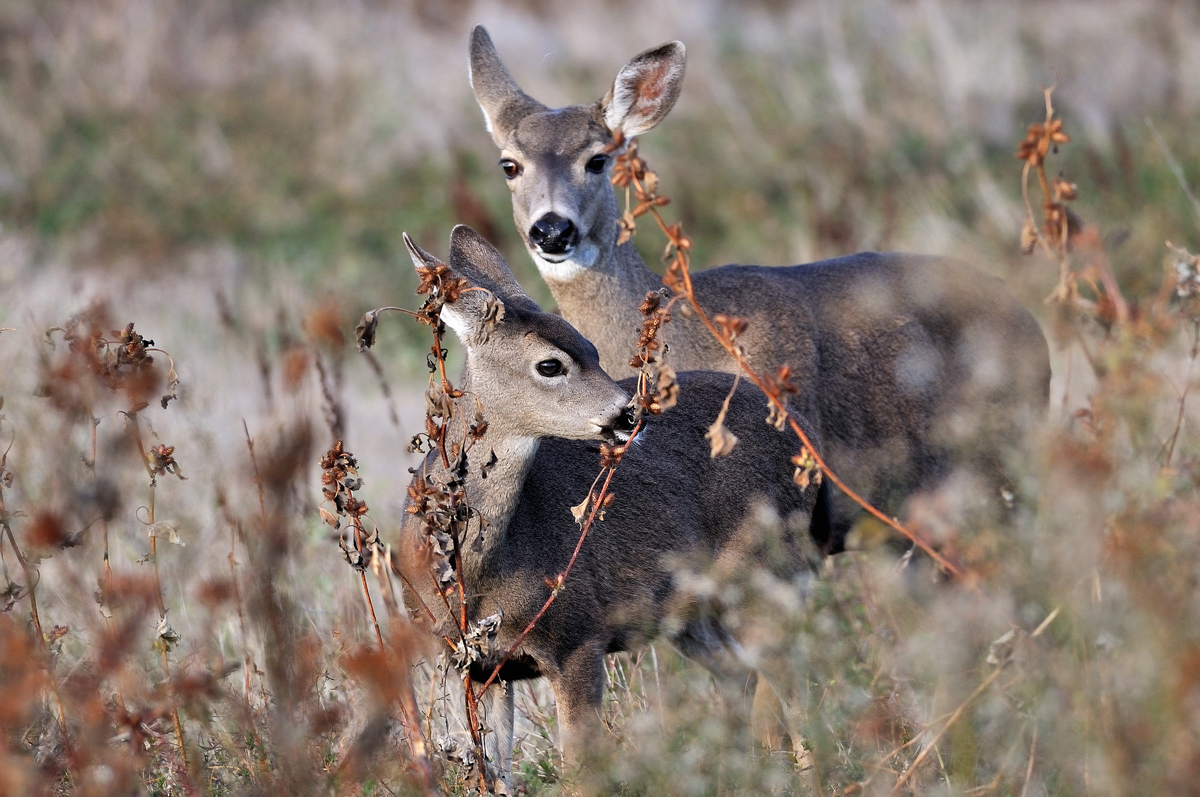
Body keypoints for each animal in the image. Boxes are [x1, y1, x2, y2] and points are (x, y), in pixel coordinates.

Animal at [396, 224, 825, 789]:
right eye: (550, 364)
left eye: (594, 349)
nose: (631, 414)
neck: (482, 570)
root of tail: (802, 435)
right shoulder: (469, 662)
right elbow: (491, 773)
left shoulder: (577, 637)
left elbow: (581, 771)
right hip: (688, 610)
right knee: (741, 673)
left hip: (770, 569)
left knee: (800, 683)